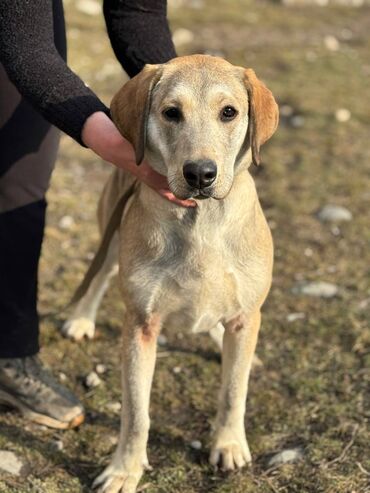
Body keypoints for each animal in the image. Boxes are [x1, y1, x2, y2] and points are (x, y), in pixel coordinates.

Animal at [62, 54, 278, 492]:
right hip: (111, 235)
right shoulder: (141, 326)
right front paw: (124, 468)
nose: (200, 174)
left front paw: (228, 444)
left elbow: (234, 391)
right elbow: (135, 413)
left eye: (229, 112)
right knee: (99, 277)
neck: (201, 221)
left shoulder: (246, 316)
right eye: (171, 113)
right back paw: (82, 318)